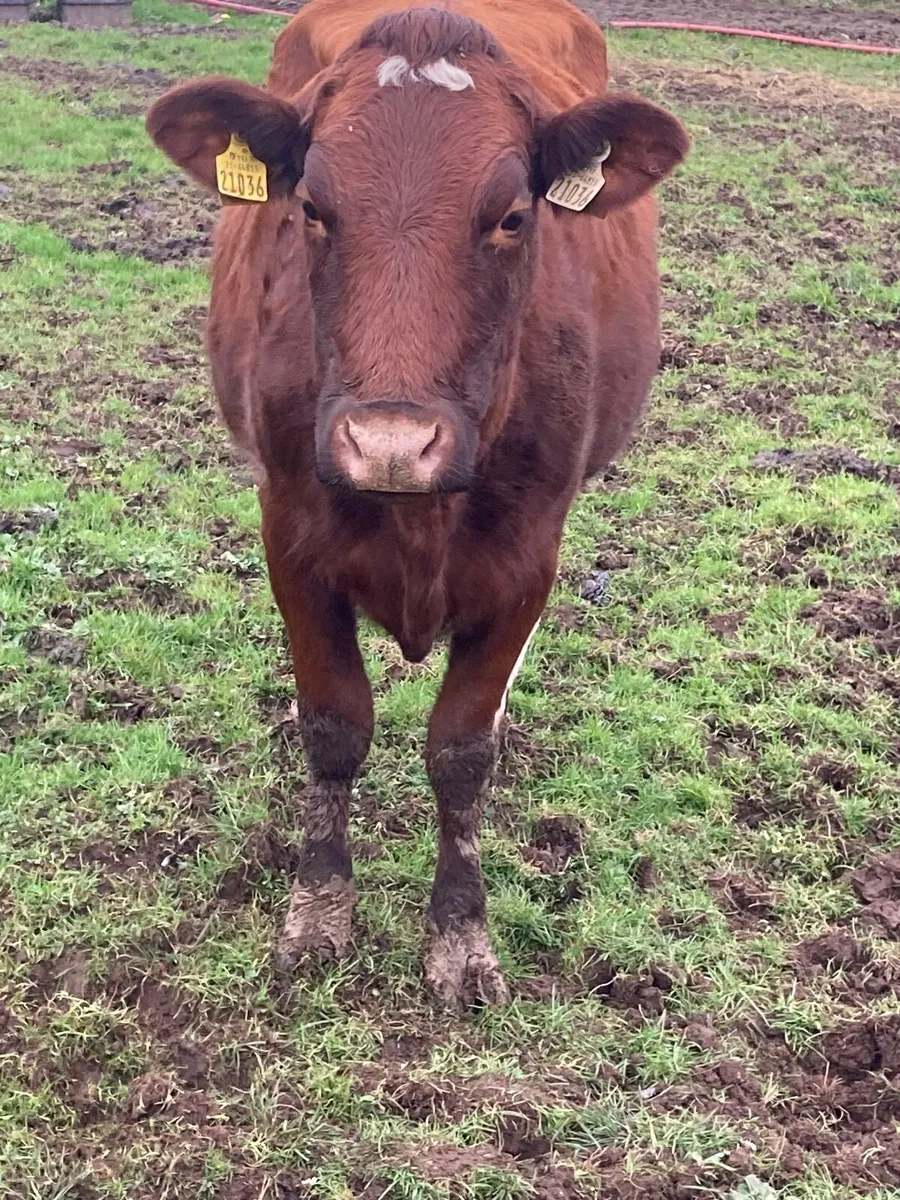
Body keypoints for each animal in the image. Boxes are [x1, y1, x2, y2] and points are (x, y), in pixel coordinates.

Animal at [146, 0, 688, 1011]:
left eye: (512, 215)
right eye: (311, 211)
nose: (391, 443)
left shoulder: (528, 559)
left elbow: (461, 749)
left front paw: (461, 935)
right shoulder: (290, 535)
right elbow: (335, 727)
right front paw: (317, 915)